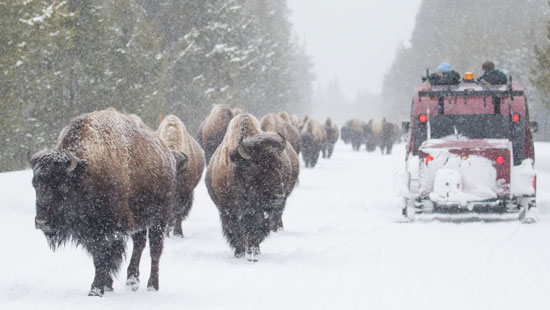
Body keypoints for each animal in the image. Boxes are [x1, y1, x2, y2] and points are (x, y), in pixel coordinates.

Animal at [31, 108, 187, 296]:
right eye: (34, 183)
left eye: (62, 185)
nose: (42, 222)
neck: (86, 171)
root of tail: (167, 155)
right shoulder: (91, 232)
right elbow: (99, 257)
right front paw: (106, 285)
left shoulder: (108, 229)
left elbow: (104, 257)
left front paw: (96, 290)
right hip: (139, 220)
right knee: (139, 245)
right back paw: (132, 281)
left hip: (159, 218)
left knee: (155, 250)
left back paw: (152, 286)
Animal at [207, 112, 294, 260]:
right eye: (258, 167)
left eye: (279, 165)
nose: (278, 196)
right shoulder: (229, 211)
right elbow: (235, 230)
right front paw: (239, 252)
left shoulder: (260, 212)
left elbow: (256, 230)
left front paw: (254, 251)